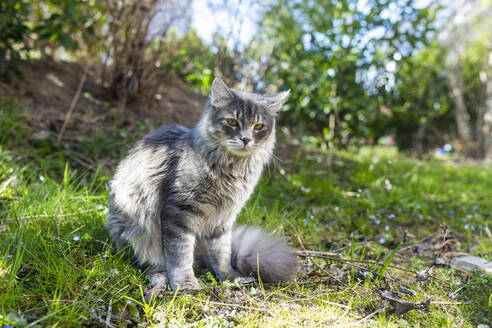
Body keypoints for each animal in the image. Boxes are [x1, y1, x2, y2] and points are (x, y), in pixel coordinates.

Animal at [106, 77, 296, 292]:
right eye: (233, 122)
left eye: (258, 126)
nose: (246, 139)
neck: (233, 169)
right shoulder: (179, 212)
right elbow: (180, 254)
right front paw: (185, 283)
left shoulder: (224, 220)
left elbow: (222, 254)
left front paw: (229, 277)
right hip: (135, 229)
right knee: (149, 264)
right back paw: (160, 279)